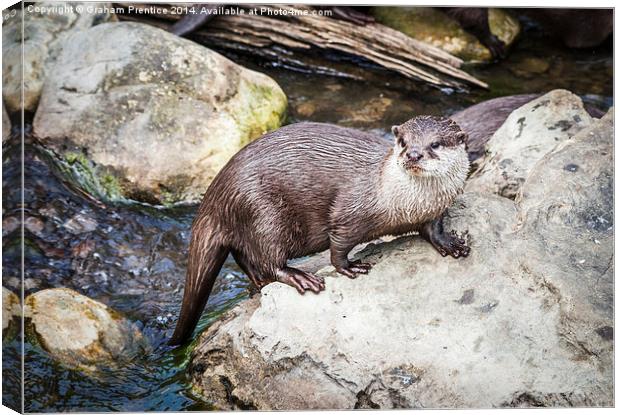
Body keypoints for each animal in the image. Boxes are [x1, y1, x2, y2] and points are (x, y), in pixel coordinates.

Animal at [170, 116, 470, 344]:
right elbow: (339, 244)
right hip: (263, 213)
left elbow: (433, 230)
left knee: (244, 255)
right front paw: (349, 266)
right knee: (267, 258)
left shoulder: (435, 211)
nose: (413, 154)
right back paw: (299, 277)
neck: (408, 204)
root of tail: (216, 195)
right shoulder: (350, 211)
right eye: (403, 142)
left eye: (435, 143)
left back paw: (259, 283)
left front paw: (451, 244)